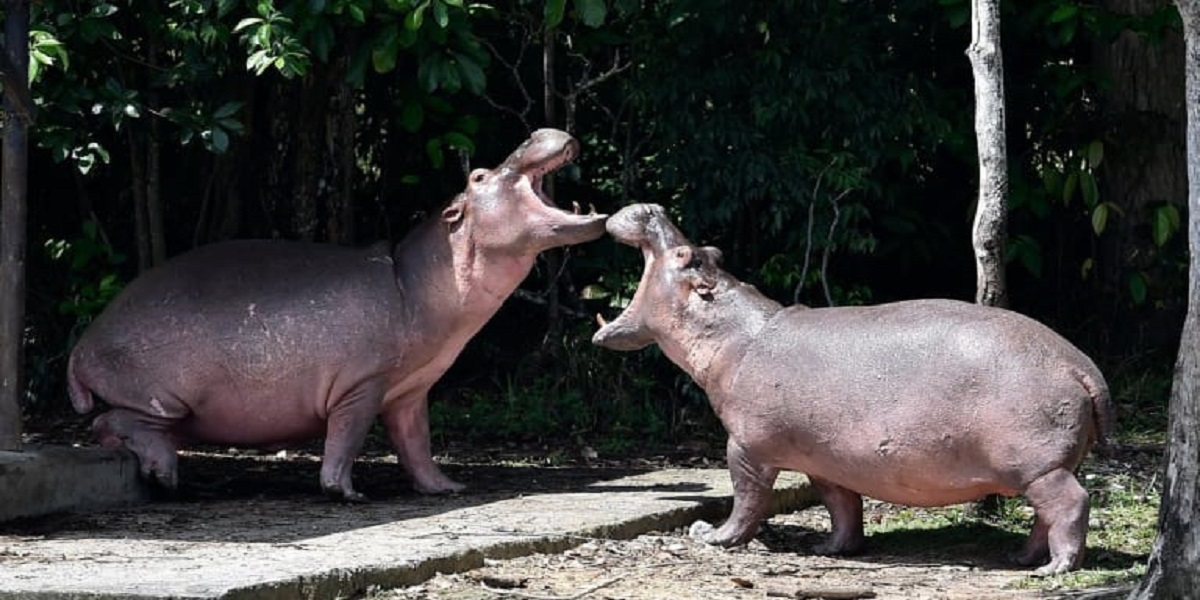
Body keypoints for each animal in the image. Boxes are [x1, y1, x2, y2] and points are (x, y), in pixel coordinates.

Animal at [68, 129, 607, 501]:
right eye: (477, 177)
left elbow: (417, 443)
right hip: (163, 398)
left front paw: (447, 488)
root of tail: (81, 346)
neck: (418, 278)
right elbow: (346, 438)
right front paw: (347, 493)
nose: (536, 132)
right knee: (114, 423)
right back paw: (165, 474)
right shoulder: (362, 384)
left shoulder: (410, 389)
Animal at [591, 203, 1113, 575]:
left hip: (1039, 466)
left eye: (687, 257)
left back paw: (1053, 569)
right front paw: (831, 548)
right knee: (1045, 515)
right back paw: (1022, 559)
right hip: (1043, 467)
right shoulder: (822, 458)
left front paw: (713, 536)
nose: (652, 207)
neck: (732, 333)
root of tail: (1081, 364)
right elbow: (841, 505)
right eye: (711, 252)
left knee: (1071, 504)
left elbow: (747, 499)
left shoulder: (746, 447)